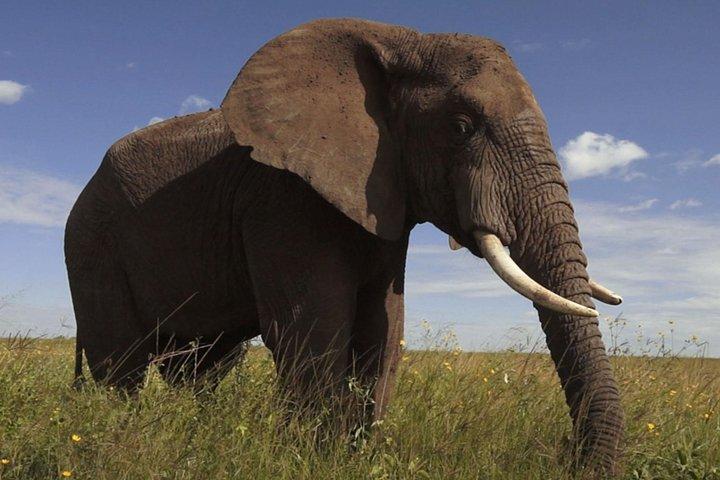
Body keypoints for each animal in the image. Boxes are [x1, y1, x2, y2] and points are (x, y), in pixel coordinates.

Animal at [65, 18, 625, 473]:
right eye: (461, 128)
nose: (569, 457)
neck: (401, 42)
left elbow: (384, 329)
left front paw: (354, 456)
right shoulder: (284, 201)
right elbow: (312, 330)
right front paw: (313, 460)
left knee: (204, 366)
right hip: (92, 244)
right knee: (122, 364)